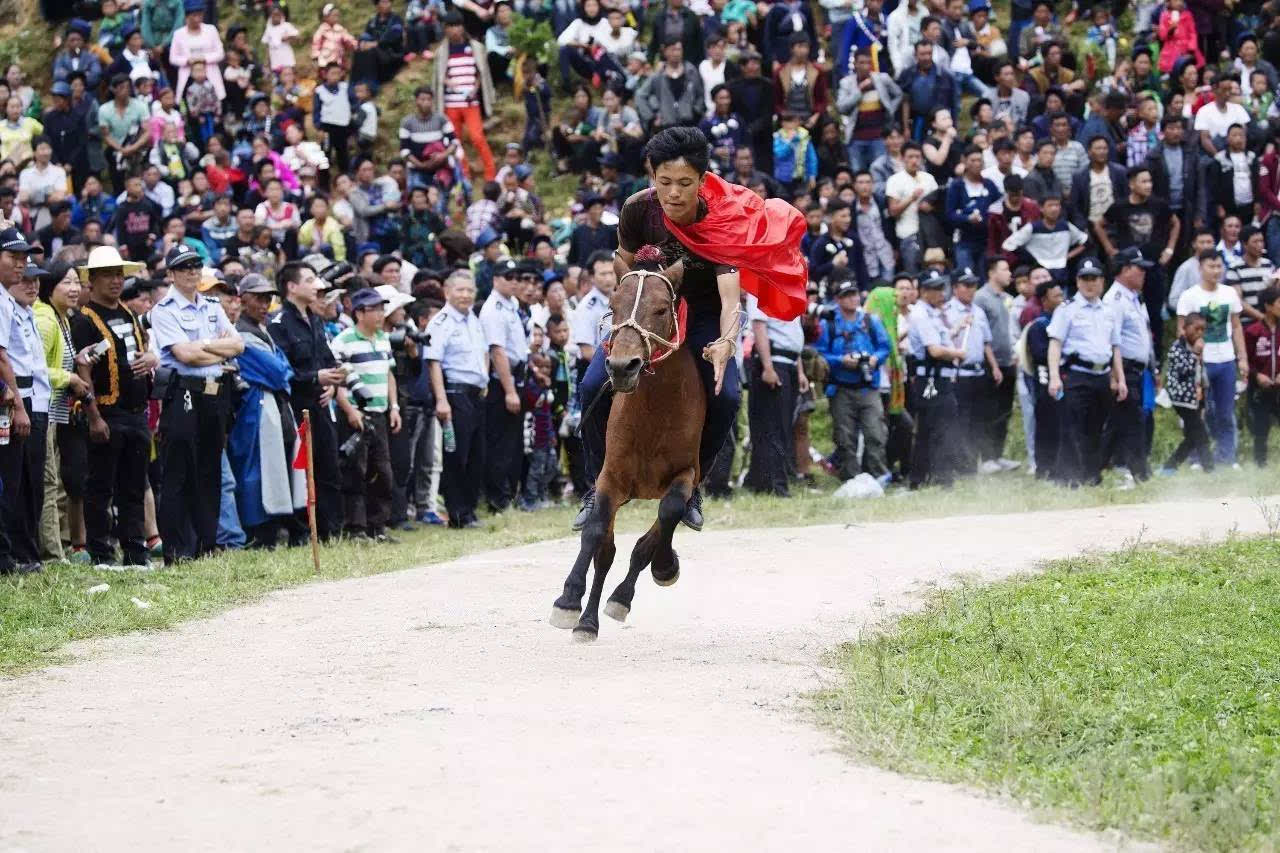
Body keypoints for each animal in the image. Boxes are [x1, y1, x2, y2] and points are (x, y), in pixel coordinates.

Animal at [550, 245, 706, 637]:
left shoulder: (686, 473)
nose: (622, 366)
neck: (653, 411)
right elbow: (596, 537)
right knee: (604, 551)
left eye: (662, 309)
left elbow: (667, 516)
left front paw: (663, 566)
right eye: (613, 304)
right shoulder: (611, 477)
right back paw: (586, 619)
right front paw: (569, 601)